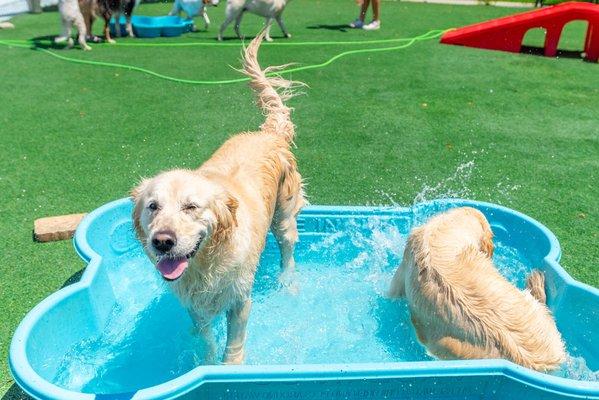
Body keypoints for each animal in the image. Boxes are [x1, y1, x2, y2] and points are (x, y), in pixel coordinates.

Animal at [133, 32, 308, 366]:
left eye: (191, 207)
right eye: (153, 207)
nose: (162, 241)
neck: (205, 262)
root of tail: (268, 133)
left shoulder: (239, 299)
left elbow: (233, 345)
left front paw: (229, 368)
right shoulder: (194, 307)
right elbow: (206, 340)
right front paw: (206, 363)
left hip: (284, 213)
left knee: (288, 249)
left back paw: (287, 282)